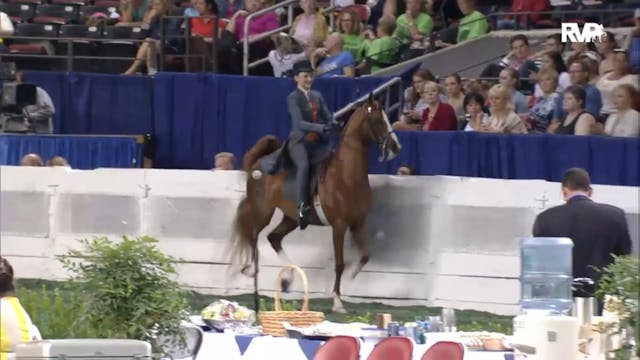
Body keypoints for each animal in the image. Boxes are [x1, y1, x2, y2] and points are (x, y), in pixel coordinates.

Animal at [229, 93, 400, 312]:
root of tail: (258, 162)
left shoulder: (357, 223)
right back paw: (251, 271)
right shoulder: (339, 225)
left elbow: (365, 256)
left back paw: (287, 279)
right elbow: (339, 264)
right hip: (262, 212)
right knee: (253, 235)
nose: (396, 146)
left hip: (291, 218)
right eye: (378, 119)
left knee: (273, 238)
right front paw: (337, 301)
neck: (346, 176)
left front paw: (352, 276)